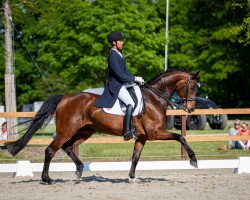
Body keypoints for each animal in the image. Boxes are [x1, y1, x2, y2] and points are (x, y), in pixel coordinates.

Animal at [4, 69, 199, 184]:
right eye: (192, 87)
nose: (190, 109)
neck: (154, 98)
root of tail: (65, 98)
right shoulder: (155, 133)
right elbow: (180, 137)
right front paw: (193, 160)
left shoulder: (143, 137)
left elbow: (135, 157)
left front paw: (131, 178)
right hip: (66, 130)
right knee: (51, 150)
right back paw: (47, 179)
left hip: (85, 131)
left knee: (68, 147)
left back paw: (79, 172)